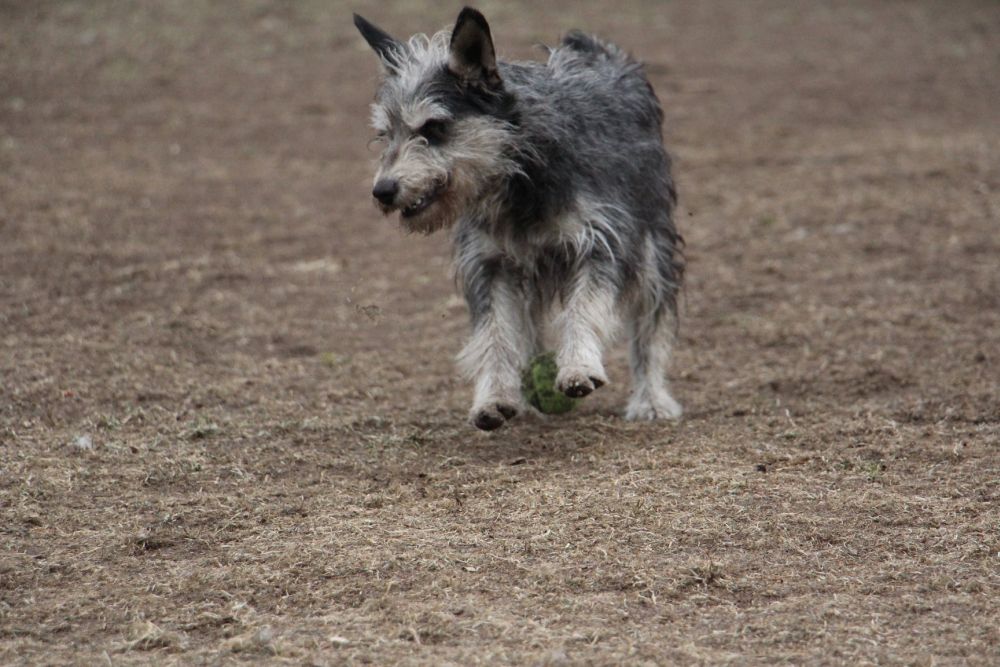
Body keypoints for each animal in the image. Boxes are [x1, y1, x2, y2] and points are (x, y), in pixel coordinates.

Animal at [354, 7, 685, 430]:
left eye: (434, 126)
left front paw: (578, 365)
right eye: (386, 133)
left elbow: (586, 306)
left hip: (652, 246)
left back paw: (651, 398)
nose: (383, 191)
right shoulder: (491, 263)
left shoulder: (602, 241)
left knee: (651, 322)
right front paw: (495, 396)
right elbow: (495, 333)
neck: (517, 173)